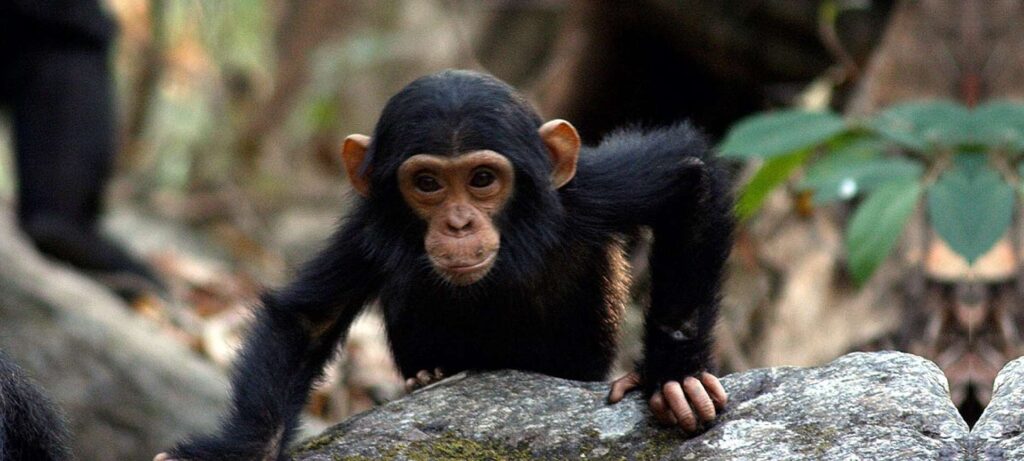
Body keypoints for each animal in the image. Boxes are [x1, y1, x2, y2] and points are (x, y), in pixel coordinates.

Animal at [157, 69, 737, 461]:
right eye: (428, 183)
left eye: (482, 179)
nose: (458, 223)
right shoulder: (367, 234)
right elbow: (306, 321)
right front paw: (241, 452)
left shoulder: (592, 193)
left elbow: (690, 180)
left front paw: (675, 378)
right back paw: (428, 376)